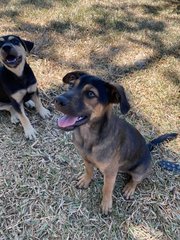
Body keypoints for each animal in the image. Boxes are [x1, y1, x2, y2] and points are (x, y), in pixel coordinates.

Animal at [55, 71, 177, 214]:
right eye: (71, 85)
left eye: (91, 93)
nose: (57, 100)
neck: (89, 136)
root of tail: (148, 147)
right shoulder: (86, 159)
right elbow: (89, 171)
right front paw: (85, 180)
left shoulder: (110, 172)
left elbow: (107, 188)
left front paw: (106, 204)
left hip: (140, 170)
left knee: (136, 180)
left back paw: (129, 188)